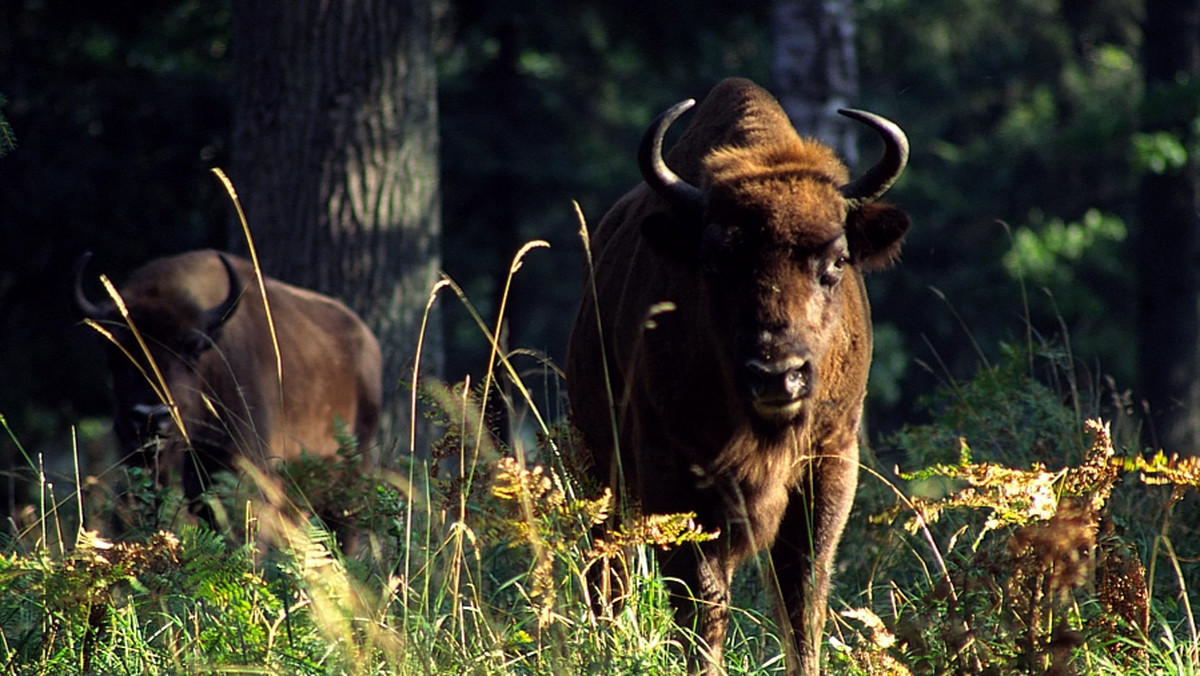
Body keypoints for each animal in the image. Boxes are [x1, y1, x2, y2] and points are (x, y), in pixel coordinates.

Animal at [566, 76, 912, 672]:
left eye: (836, 260)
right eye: (714, 260)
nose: (777, 374)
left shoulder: (829, 463)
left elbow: (802, 593)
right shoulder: (675, 476)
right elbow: (701, 600)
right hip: (600, 466)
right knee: (607, 567)